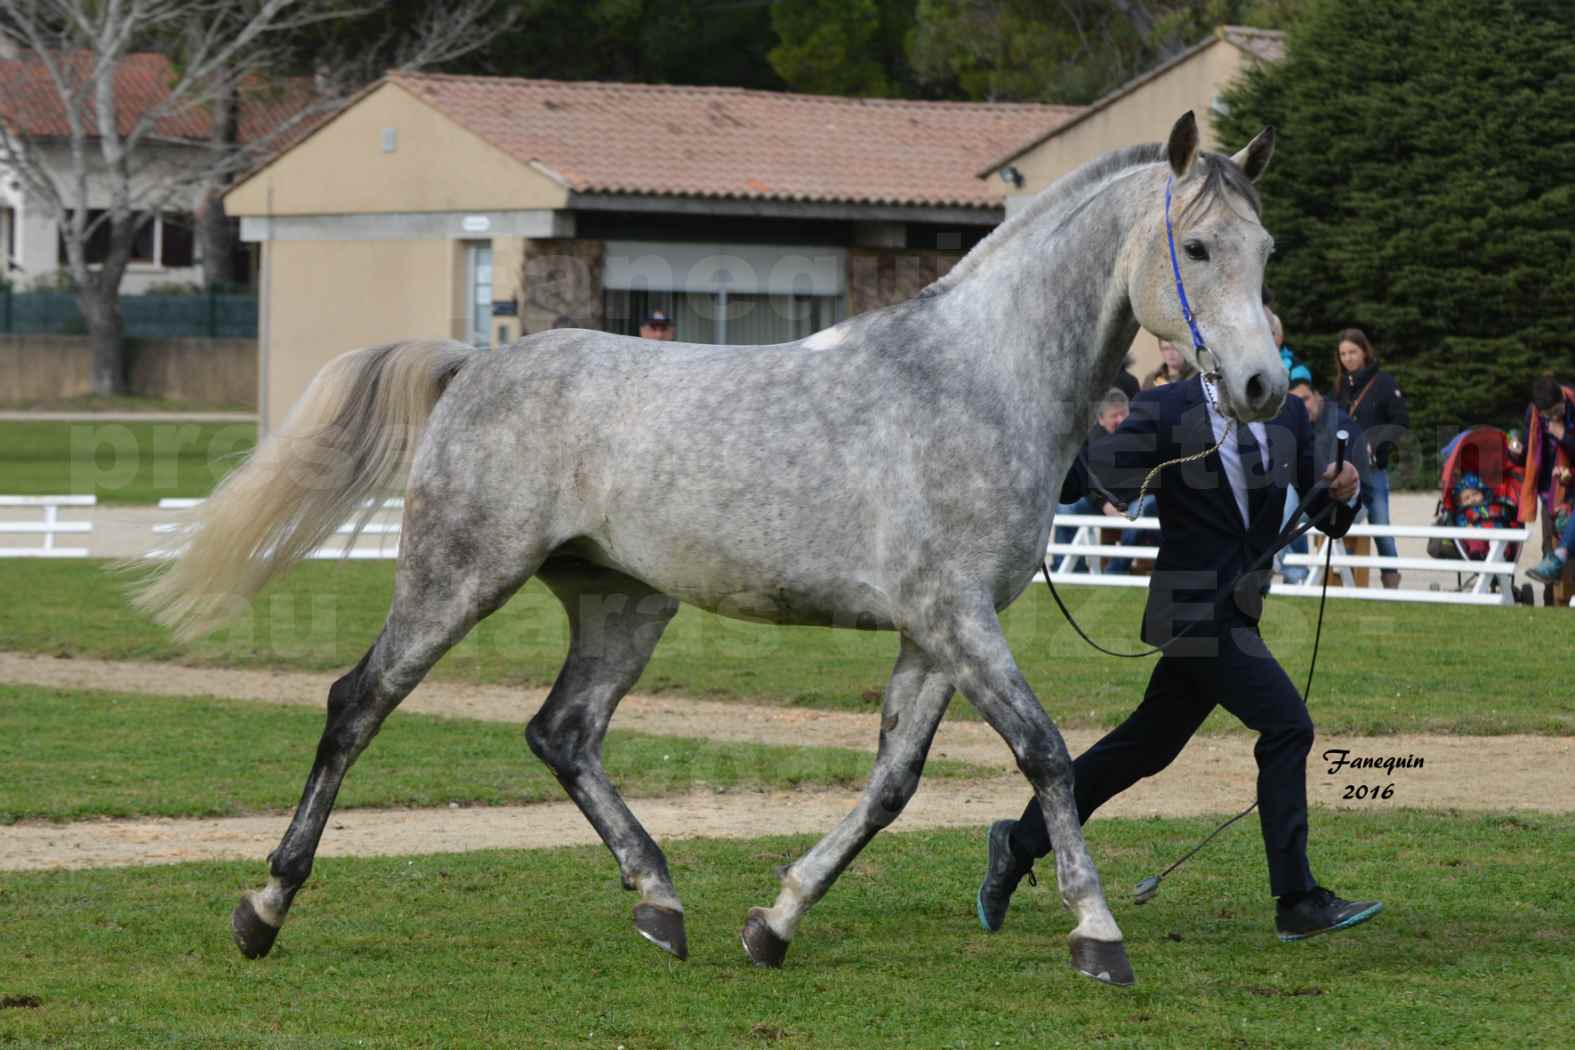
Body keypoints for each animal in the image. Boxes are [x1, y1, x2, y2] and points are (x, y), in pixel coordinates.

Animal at [138, 114, 1278, 988]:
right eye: (1199, 249)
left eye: (1265, 249)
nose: (1263, 385)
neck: (974, 381)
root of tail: (476, 365)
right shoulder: (955, 617)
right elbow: (1043, 754)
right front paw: (1099, 936)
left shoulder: (934, 632)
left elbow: (892, 784)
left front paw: (773, 923)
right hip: (457, 578)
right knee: (358, 705)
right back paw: (263, 907)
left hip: (623, 602)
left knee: (562, 732)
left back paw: (660, 902)